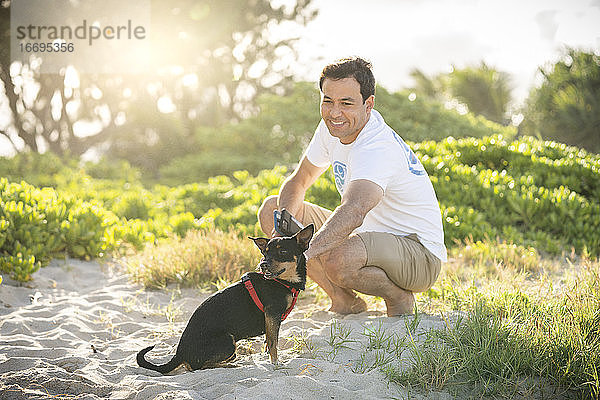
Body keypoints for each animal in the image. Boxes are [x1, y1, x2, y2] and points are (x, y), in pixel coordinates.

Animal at [136, 223, 314, 374]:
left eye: (282, 252)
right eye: (265, 252)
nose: (263, 264)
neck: (282, 282)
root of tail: (180, 354)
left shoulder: (271, 319)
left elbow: (268, 341)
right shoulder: (272, 314)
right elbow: (273, 342)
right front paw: (276, 363)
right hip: (228, 341)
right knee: (197, 367)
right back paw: (230, 365)